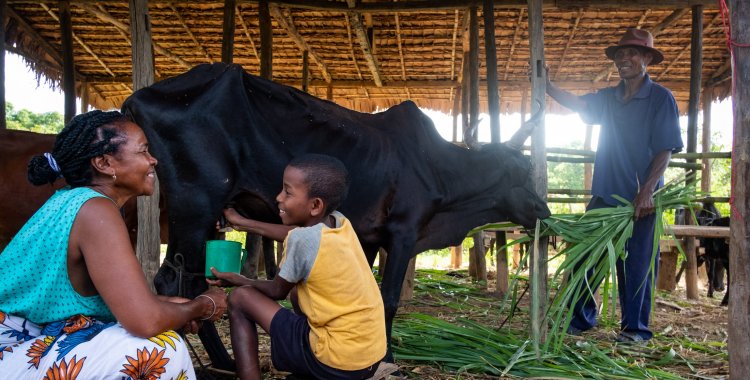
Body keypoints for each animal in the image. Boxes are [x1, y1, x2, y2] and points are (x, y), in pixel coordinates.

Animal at [123, 63, 552, 370]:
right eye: (521, 171)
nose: (545, 212)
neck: (439, 168)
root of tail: (137, 100)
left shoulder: (370, 237)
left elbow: (372, 294)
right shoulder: (404, 234)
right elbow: (389, 299)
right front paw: (388, 359)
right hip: (195, 206)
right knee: (179, 282)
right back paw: (223, 361)